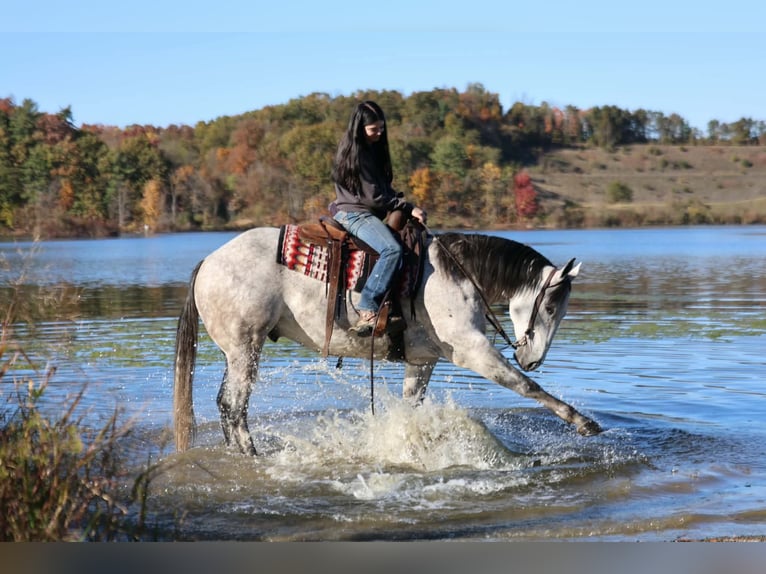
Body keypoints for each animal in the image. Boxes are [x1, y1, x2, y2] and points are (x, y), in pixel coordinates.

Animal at [173, 227, 602, 455]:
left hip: (238, 351)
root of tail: (208, 263)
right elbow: (527, 387)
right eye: (551, 307)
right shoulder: (473, 351)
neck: (456, 273)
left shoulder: (423, 360)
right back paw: (252, 454)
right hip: (246, 348)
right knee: (233, 406)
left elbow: (412, 406)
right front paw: (584, 423)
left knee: (226, 405)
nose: (532, 358)